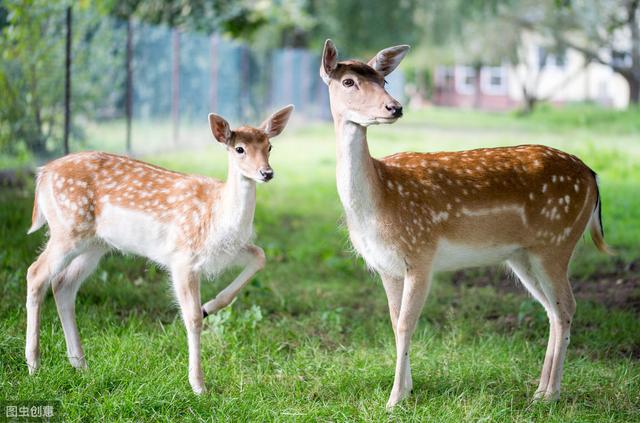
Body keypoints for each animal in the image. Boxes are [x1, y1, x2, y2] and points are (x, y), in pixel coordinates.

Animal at [24, 105, 296, 394]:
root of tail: (42, 175)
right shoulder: (183, 258)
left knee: (63, 284)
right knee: (36, 273)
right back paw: (34, 364)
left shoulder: (228, 251)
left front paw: (209, 306)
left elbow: (260, 256)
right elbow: (192, 319)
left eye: (269, 146)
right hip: (67, 229)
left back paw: (80, 364)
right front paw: (198, 385)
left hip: (95, 244)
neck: (217, 216)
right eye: (240, 149)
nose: (266, 173)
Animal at [320, 40, 608, 410]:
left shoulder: (421, 253)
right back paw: (541, 391)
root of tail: (592, 175)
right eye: (349, 82)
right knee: (554, 310)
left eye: (383, 81)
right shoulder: (386, 266)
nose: (395, 107)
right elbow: (394, 323)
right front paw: (407, 390)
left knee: (568, 305)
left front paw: (394, 399)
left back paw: (551, 394)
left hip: (557, 241)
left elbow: (406, 324)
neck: (380, 199)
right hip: (524, 255)